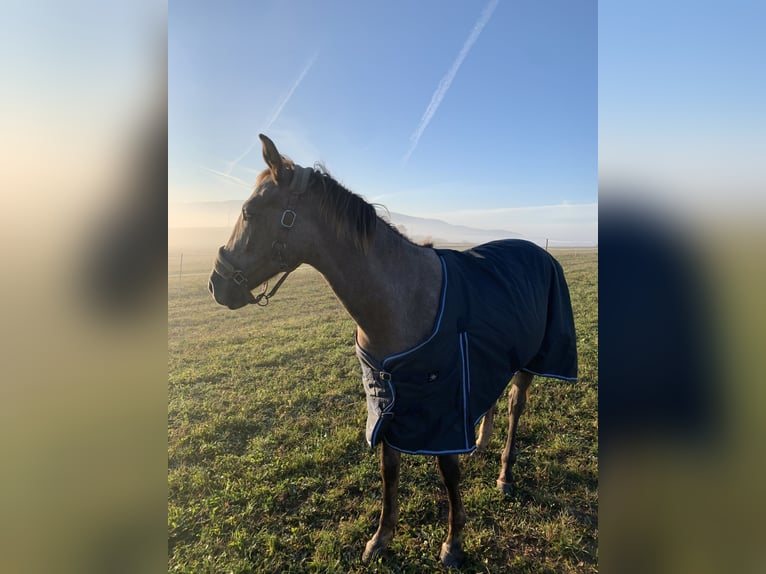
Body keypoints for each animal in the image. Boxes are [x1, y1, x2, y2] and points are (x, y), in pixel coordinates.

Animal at [208, 134, 578, 567]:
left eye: (248, 212)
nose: (216, 285)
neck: (400, 299)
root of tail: (540, 251)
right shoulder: (387, 398)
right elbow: (390, 470)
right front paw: (381, 538)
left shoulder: (442, 402)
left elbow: (448, 471)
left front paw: (453, 542)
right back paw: (481, 444)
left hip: (529, 363)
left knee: (515, 407)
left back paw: (505, 475)